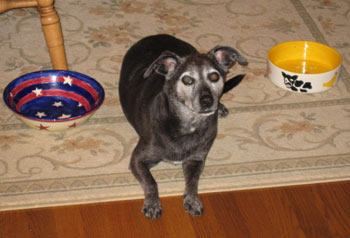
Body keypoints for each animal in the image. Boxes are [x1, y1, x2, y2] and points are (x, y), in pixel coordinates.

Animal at [119, 34, 247, 218]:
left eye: (214, 77)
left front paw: (192, 200)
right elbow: (151, 182)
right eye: (187, 79)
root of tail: (157, 35)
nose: (207, 101)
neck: (188, 123)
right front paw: (152, 203)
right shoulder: (138, 159)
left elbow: (193, 181)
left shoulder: (196, 159)